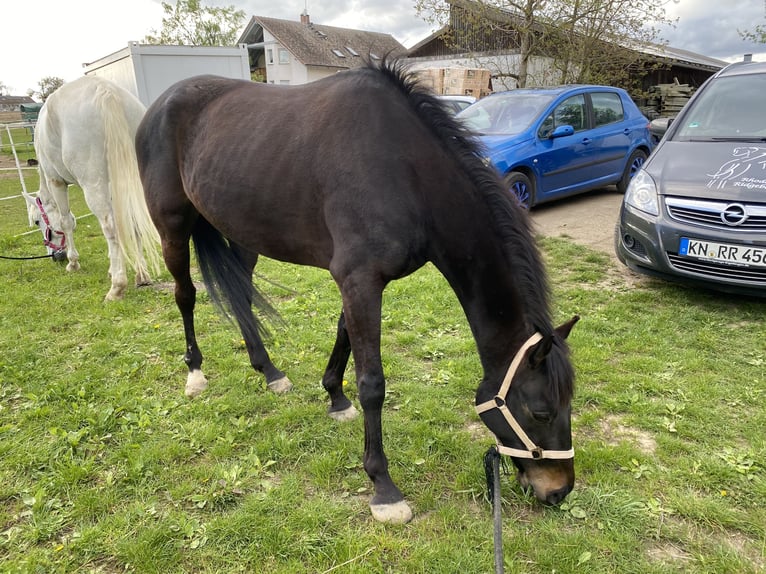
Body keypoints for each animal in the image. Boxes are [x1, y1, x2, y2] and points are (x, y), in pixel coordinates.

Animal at [25, 76, 162, 302]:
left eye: (37, 221)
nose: (56, 257)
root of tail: (106, 91)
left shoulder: (56, 182)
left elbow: (66, 221)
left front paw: (73, 263)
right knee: (132, 221)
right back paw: (141, 275)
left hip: (94, 183)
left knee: (110, 227)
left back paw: (117, 288)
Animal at [136, 62, 584, 528]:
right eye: (541, 411)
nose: (559, 491)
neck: (406, 171)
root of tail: (161, 104)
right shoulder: (359, 279)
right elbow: (373, 384)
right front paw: (383, 488)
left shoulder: (359, 282)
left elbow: (343, 335)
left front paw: (335, 397)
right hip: (172, 226)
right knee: (185, 295)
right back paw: (195, 372)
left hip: (243, 234)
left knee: (241, 296)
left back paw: (270, 371)